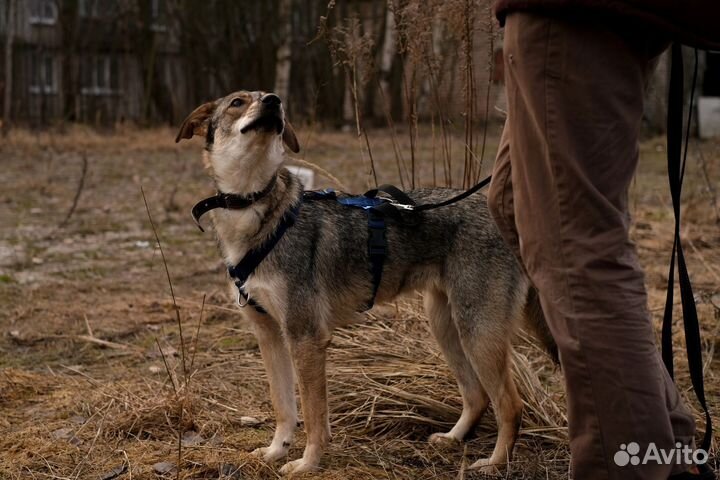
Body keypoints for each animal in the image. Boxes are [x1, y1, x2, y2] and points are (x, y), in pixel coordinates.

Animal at [176, 91, 556, 476]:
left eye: (268, 98)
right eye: (238, 102)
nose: (274, 100)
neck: (253, 208)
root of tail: (504, 216)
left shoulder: (306, 338)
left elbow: (313, 416)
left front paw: (307, 463)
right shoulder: (270, 336)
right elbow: (284, 408)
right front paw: (274, 452)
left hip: (477, 331)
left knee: (510, 405)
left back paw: (495, 463)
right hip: (446, 325)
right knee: (477, 396)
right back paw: (452, 439)